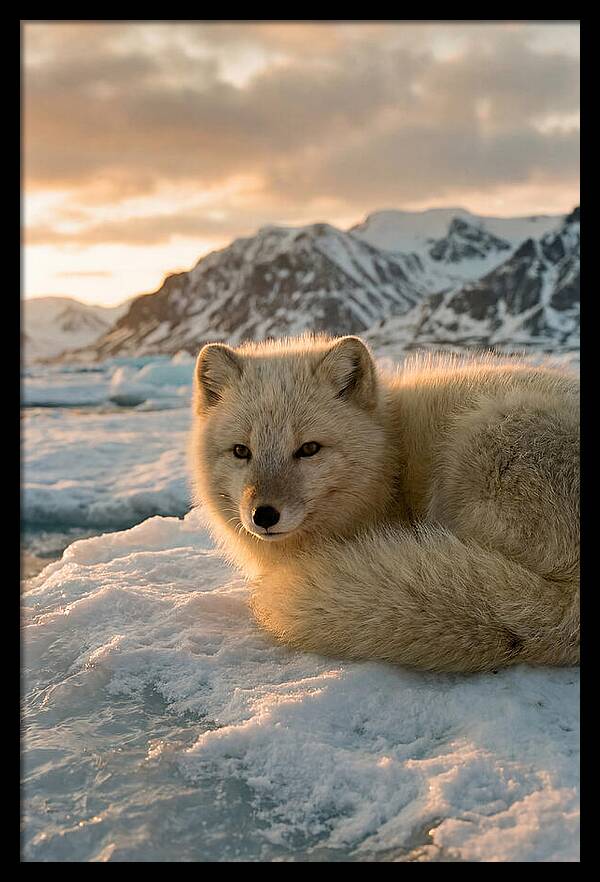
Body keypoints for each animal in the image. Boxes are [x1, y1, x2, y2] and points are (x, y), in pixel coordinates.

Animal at [189, 334, 579, 673]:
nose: (264, 515)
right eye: (241, 451)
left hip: (480, 442)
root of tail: (568, 610)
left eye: (309, 449)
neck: (390, 458)